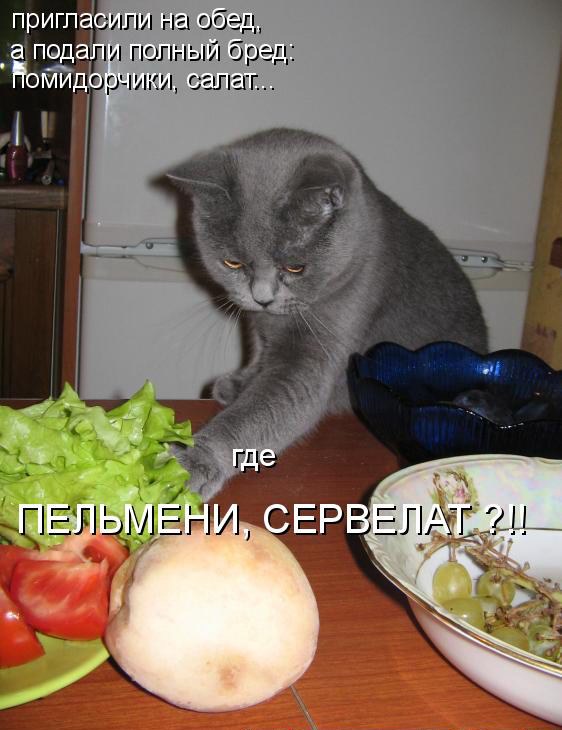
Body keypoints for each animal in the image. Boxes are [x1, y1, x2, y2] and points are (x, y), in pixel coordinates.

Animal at [168, 128, 488, 499]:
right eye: (233, 263)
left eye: (295, 267)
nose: (262, 297)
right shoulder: (260, 327)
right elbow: (261, 353)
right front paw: (240, 383)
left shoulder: (322, 345)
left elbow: (262, 407)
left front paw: (192, 461)